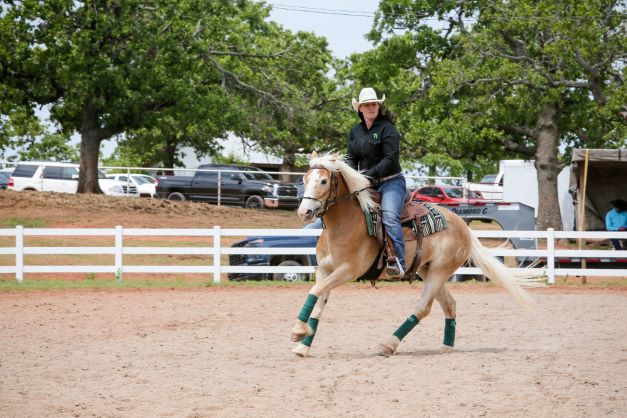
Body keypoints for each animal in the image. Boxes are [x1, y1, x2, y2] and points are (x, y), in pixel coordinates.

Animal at [292, 155, 544, 358]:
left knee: (423, 307)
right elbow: (318, 301)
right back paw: (445, 347)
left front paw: (297, 332)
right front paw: (303, 344)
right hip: (428, 269)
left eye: (323, 181)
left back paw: (388, 344)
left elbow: (314, 291)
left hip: (439, 271)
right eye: (304, 179)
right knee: (449, 304)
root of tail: (462, 224)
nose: (304, 212)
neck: (345, 224)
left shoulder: (348, 270)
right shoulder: (325, 270)